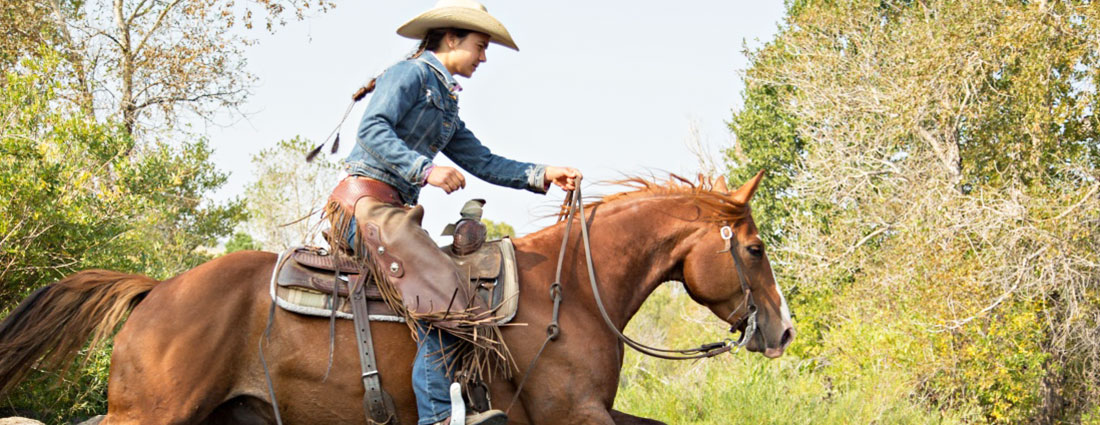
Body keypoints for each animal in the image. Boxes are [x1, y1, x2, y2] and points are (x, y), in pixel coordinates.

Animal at [0, 170, 792, 422]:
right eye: (755, 249)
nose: (781, 331)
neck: (569, 295)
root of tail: (158, 290)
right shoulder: (575, 415)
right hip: (151, 414)